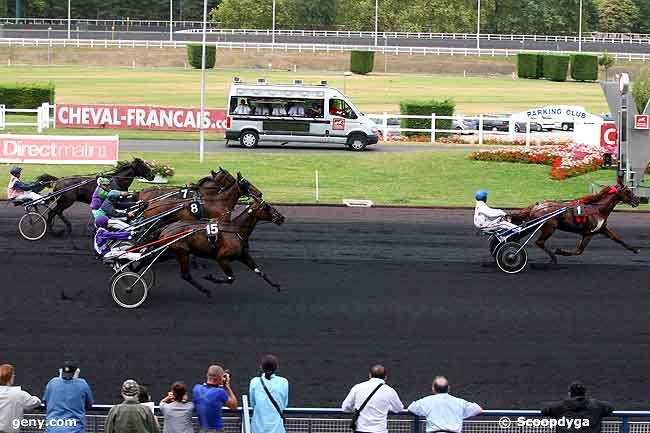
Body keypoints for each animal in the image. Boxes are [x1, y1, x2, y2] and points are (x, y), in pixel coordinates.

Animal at [156, 200, 284, 296]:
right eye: (266, 207)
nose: (281, 218)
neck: (236, 230)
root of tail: (166, 229)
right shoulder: (222, 258)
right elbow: (231, 278)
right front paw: (210, 277)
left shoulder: (243, 256)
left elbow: (259, 271)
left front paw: (276, 285)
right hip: (182, 252)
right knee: (186, 275)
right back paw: (206, 291)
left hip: (171, 252)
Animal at [508, 181, 640, 262]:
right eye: (628, 191)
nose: (638, 200)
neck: (598, 209)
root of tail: (537, 206)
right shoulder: (588, 233)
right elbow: (578, 251)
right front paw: (560, 251)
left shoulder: (602, 229)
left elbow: (617, 239)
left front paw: (634, 249)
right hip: (549, 227)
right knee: (539, 242)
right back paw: (553, 257)